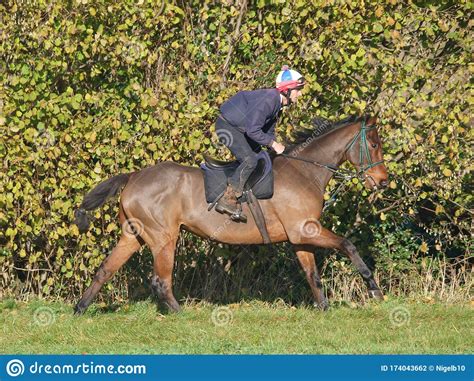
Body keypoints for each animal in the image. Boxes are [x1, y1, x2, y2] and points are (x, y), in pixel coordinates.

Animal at [72, 114, 386, 314]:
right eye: (374, 145)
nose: (383, 181)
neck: (304, 171)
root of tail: (133, 176)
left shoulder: (300, 235)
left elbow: (312, 273)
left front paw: (323, 307)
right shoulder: (305, 229)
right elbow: (347, 244)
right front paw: (374, 289)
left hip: (133, 235)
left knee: (105, 269)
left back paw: (80, 308)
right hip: (163, 237)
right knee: (160, 280)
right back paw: (180, 312)